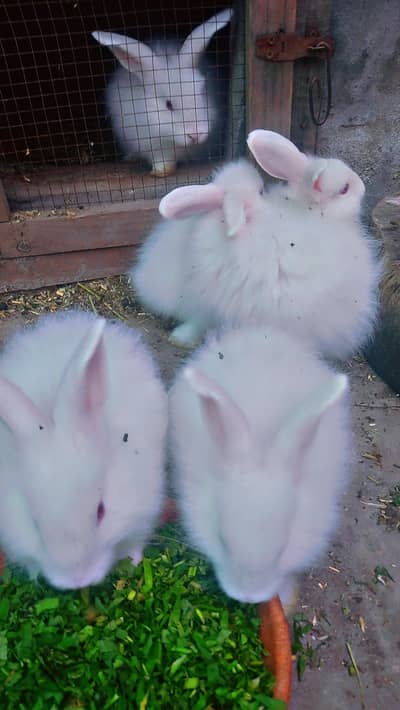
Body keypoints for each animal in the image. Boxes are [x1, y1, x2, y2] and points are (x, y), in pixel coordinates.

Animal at [91, 8, 233, 177]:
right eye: (168, 104)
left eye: (202, 92)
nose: (195, 135)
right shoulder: (154, 146)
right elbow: (162, 160)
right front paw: (161, 172)